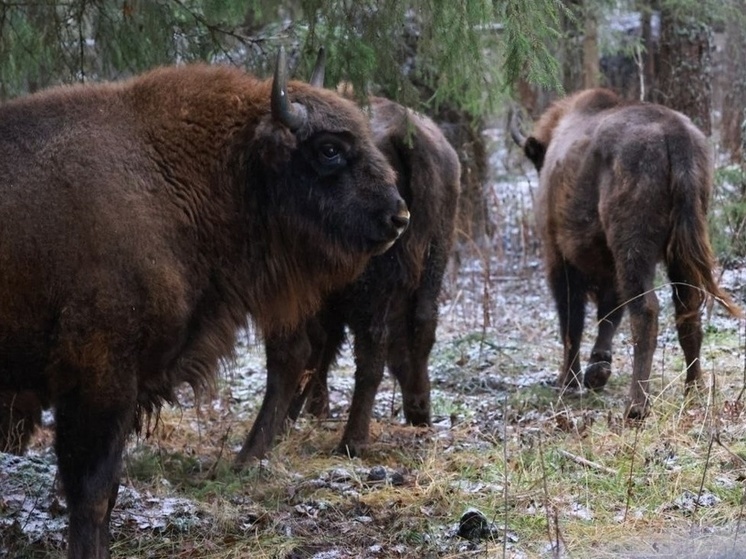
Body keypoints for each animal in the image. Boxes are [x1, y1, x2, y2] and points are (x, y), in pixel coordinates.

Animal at [235, 93, 460, 468]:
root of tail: (405, 133)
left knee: (369, 354)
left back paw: (351, 442)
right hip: (433, 262)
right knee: (418, 330)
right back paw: (416, 414)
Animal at [508, 87, 740, 418]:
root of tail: (676, 134)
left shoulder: (559, 258)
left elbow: (572, 319)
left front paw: (569, 382)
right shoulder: (609, 268)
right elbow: (608, 313)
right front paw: (597, 371)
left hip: (633, 249)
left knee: (645, 311)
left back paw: (636, 407)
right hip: (679, 252)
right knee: (687, 311)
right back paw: (693, 391)